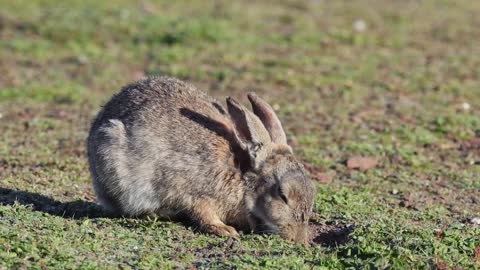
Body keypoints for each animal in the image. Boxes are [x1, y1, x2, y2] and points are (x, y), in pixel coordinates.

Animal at [87, 76, 316, 245]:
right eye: (282, 195)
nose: (298, 239)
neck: (241, 176)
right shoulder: (193, 193)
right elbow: (202, 213)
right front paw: (225, 230)